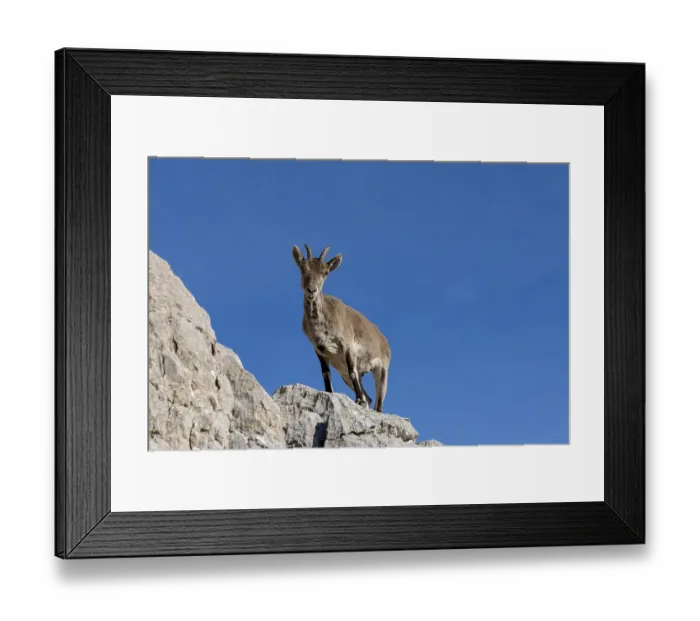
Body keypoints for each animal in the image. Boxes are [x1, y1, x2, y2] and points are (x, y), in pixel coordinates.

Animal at [292, 244, 391, 412]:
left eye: (325, 272)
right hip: (344, 371)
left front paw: (359, 400)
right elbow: (326, 374)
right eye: (303, 268)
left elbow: (352, 372)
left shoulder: (347, 346)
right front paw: (330, 395)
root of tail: (384, 341)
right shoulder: (320, 351)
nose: (312, 290)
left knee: (378, 403)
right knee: (369, 397)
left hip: (382, 370)